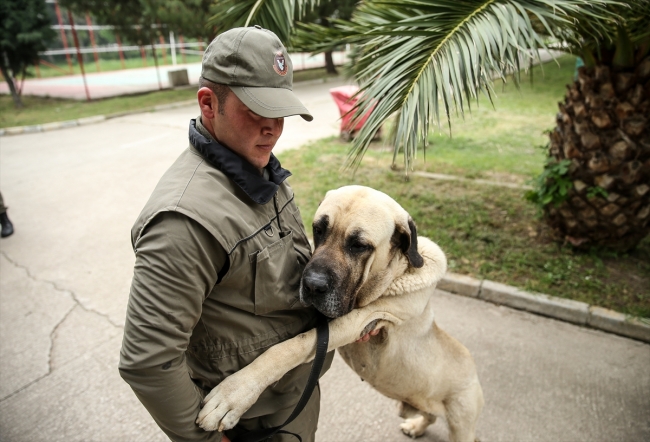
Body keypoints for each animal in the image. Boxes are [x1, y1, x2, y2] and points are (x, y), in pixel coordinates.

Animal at [197, 185, 480, 440]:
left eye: (359, 245)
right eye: (318, 230)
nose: (312, 284)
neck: (394, 274)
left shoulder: (361, 320)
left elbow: (290, 347)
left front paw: (233, 394)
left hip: (461, 417)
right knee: (429, 415)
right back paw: (416, 426)